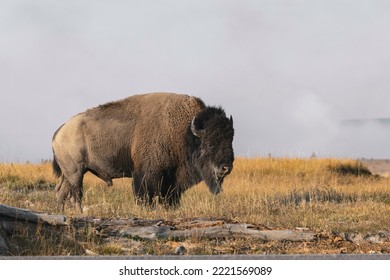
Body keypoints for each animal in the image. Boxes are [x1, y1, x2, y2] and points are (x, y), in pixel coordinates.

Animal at [51, 93, 235, 211]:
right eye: (210, 144)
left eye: (231, 139)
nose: (226, 168)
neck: (185, 132)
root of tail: (60, 131)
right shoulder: (147, 175)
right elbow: (145, 196)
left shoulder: (172, 180)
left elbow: (170, 198)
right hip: (76, 172)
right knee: (76, 194)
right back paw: (78, 213)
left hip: (70, 173)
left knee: (61, 191)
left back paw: (61, 213)